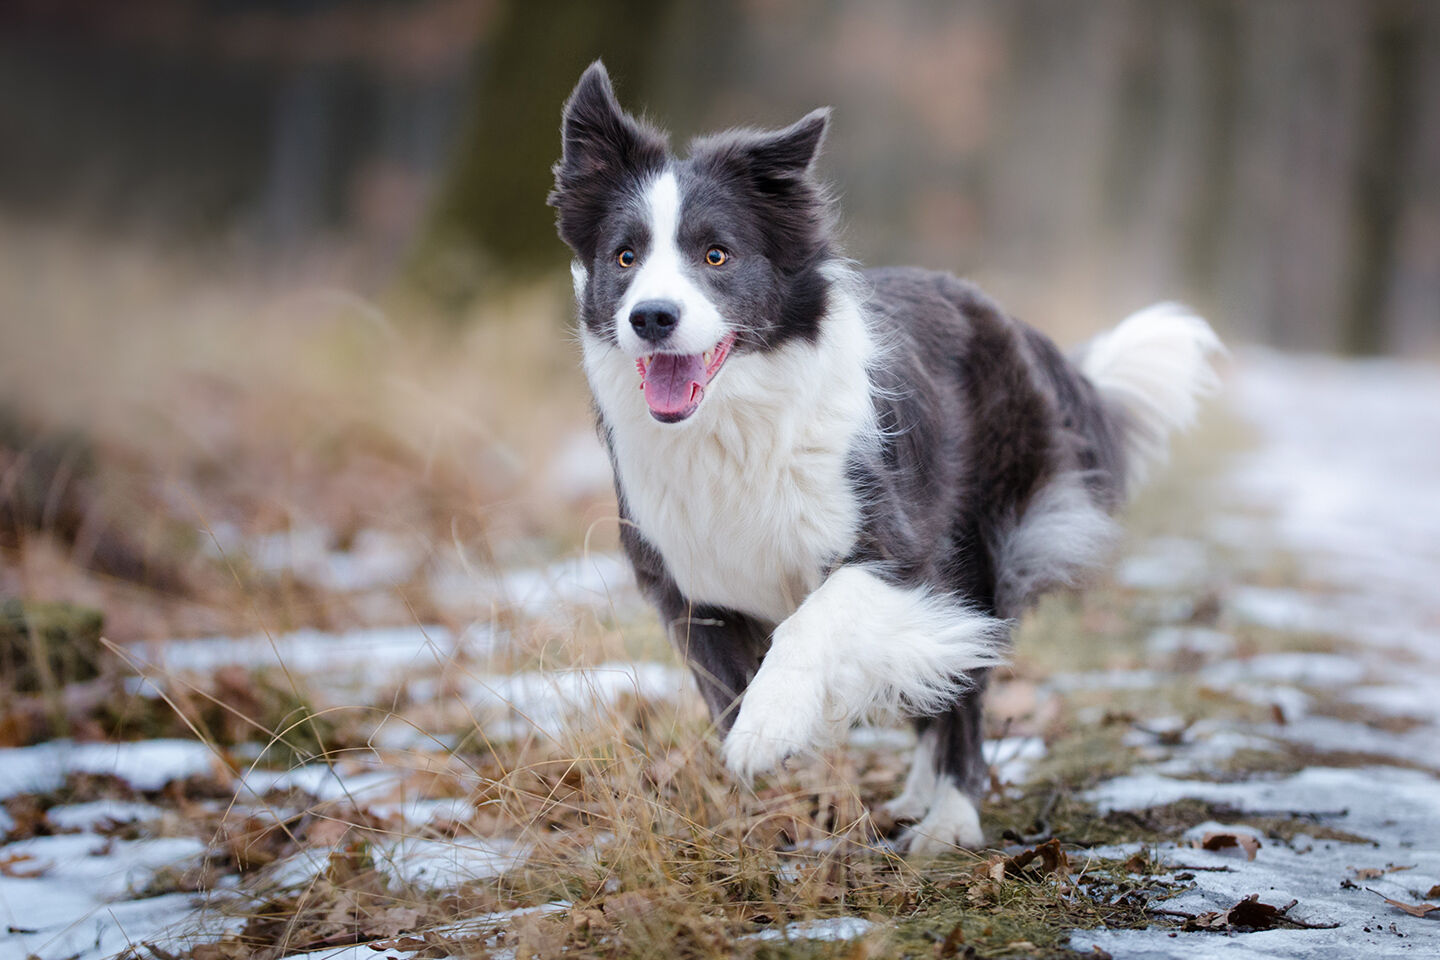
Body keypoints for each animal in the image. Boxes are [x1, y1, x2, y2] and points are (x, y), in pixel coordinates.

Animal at [544, 63, 1221, 852]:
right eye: (625, 257)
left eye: (716, 255)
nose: (652, 317)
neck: (733, 424)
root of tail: (1002, 314)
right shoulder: (688, 586)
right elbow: (724, 691)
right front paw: (764, 787)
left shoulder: (899, 549)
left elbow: (815, 622)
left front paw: (770, 728)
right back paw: (917, 795)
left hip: (979, 547)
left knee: (965, 690)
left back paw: (949, 817)